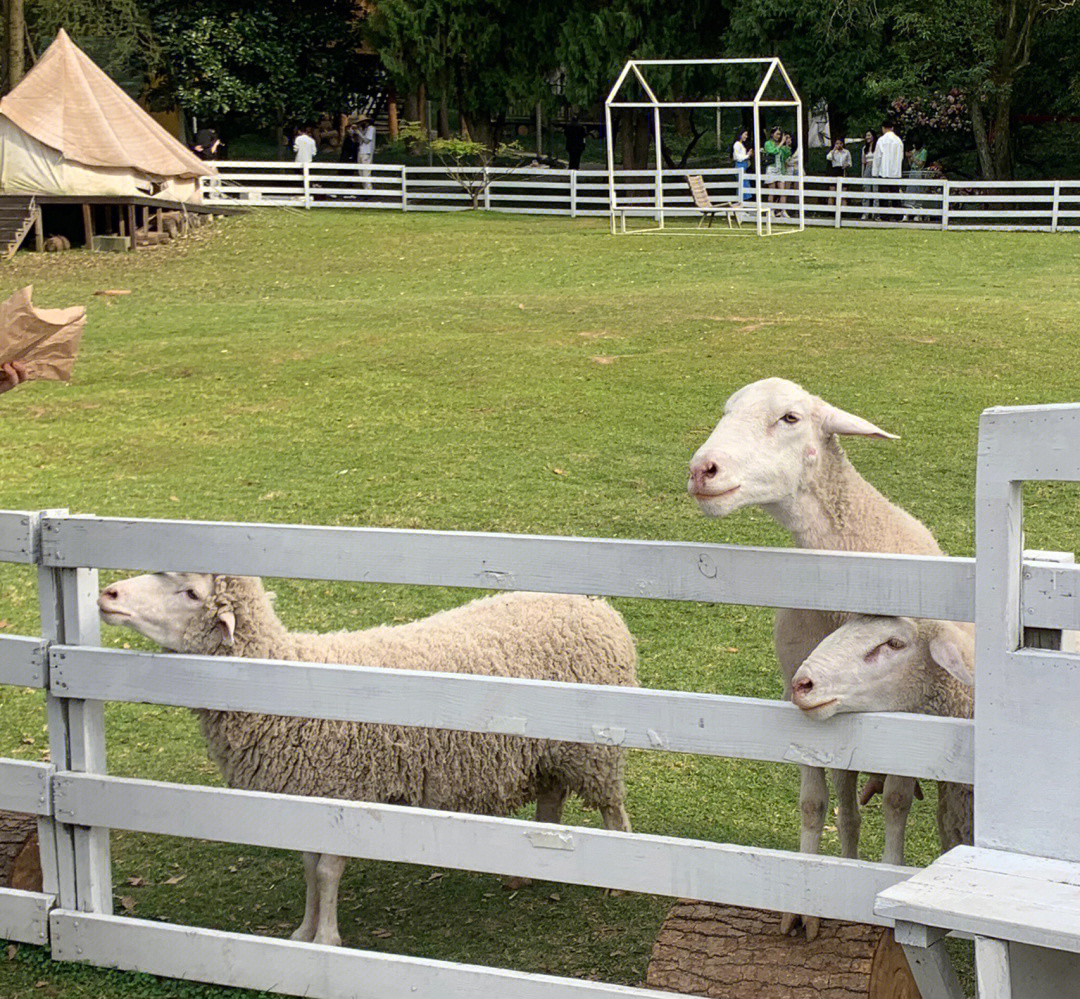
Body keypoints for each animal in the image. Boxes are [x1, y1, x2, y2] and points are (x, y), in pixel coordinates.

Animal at [97, 574, 635, 946]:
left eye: (190, 592)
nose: (108, 595)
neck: (286, 677)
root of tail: (598, 608)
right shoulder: (305, 797)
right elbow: (308, 869)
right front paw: (303, 933)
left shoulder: (343, 791)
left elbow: (327, 871)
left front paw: (328, 939)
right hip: (551, 751)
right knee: (552, 796)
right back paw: (528, 872)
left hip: (594, 752)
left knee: (613, 809)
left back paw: (617, 884)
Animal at [686, 378, 950, 937]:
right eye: (727, 411)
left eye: (790, 417)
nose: (702, 470)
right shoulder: (798, 696)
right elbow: (813, 804)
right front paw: (803, 908)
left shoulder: (907, 713)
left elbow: (896, 803)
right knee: (846, 804)